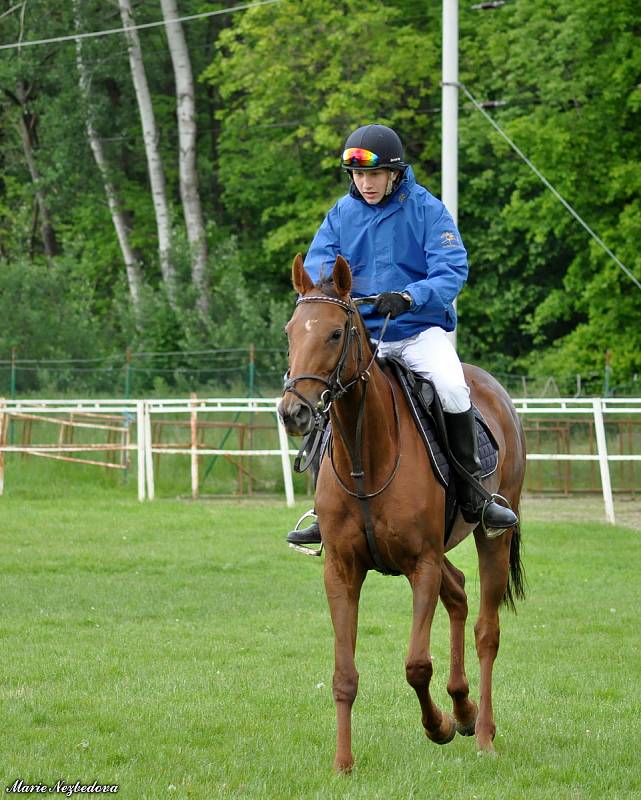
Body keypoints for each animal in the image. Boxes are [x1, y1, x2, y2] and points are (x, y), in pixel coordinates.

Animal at [278, 253, 524, 772]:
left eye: (335, 333)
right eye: (291, 331)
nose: (294, 412)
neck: (366, 456)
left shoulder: (422, 565)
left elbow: (416, 665)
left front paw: (438, 727)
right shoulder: (342, 569)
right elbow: (344, 674)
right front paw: (343, 763)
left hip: (494, 537)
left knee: (486, 631)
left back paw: (482, 731)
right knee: (459, 592)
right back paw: (464, 708)